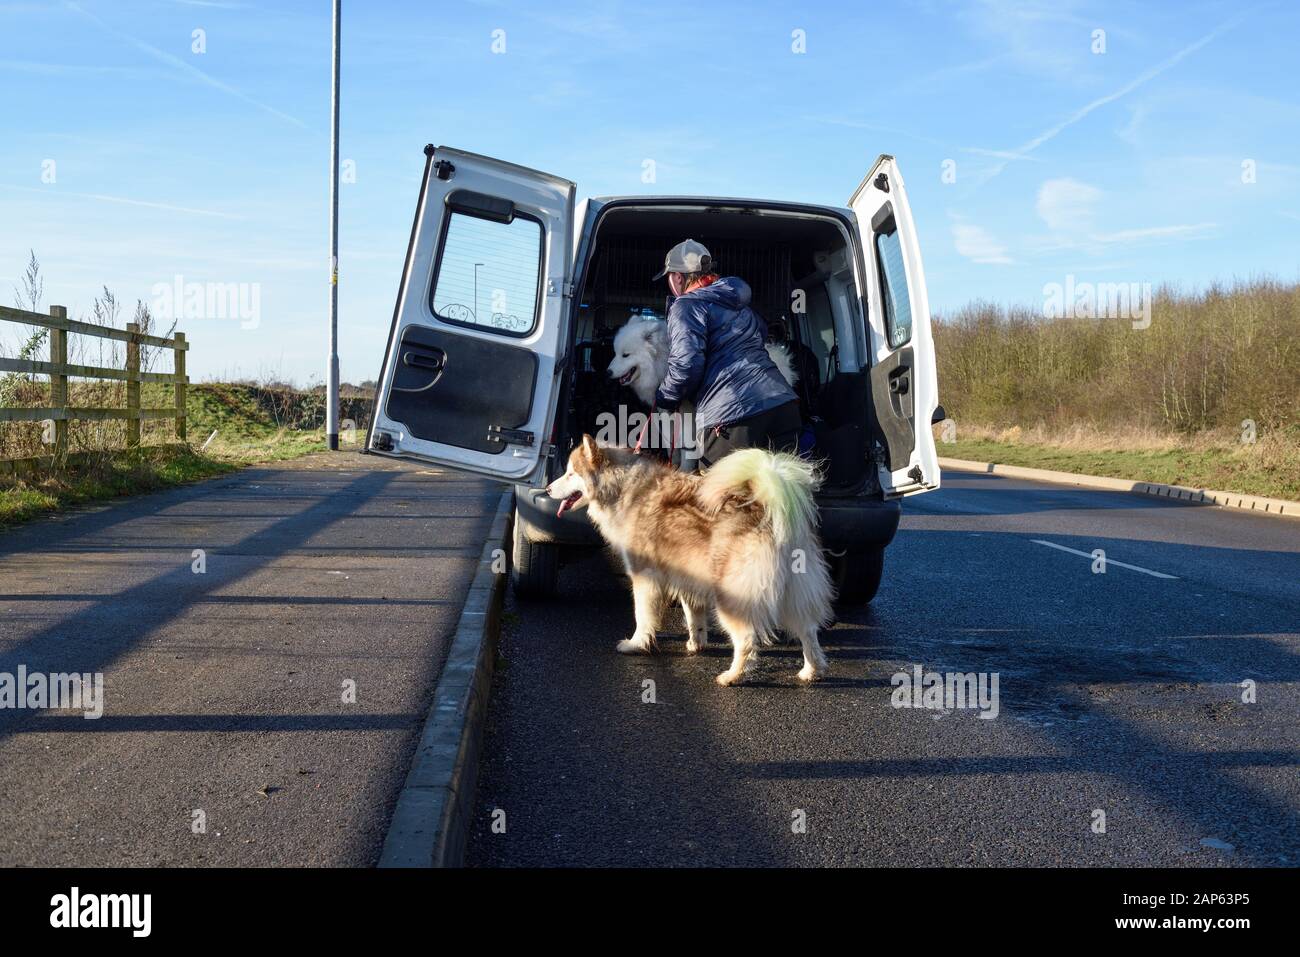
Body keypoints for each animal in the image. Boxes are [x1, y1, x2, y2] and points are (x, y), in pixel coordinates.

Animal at [546, 436, 832, 686]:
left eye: (571, 473)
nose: (548, 489)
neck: (625, 489)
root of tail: (765, 506)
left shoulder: (645, 577)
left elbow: (643, 616)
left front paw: (636, 644)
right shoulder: (687, 577)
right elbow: (694, 617)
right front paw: (696, 644)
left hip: (733, 597)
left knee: (747, 639)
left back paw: (732, 676)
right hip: (793, 593)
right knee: (808, 631)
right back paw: (812, 671)